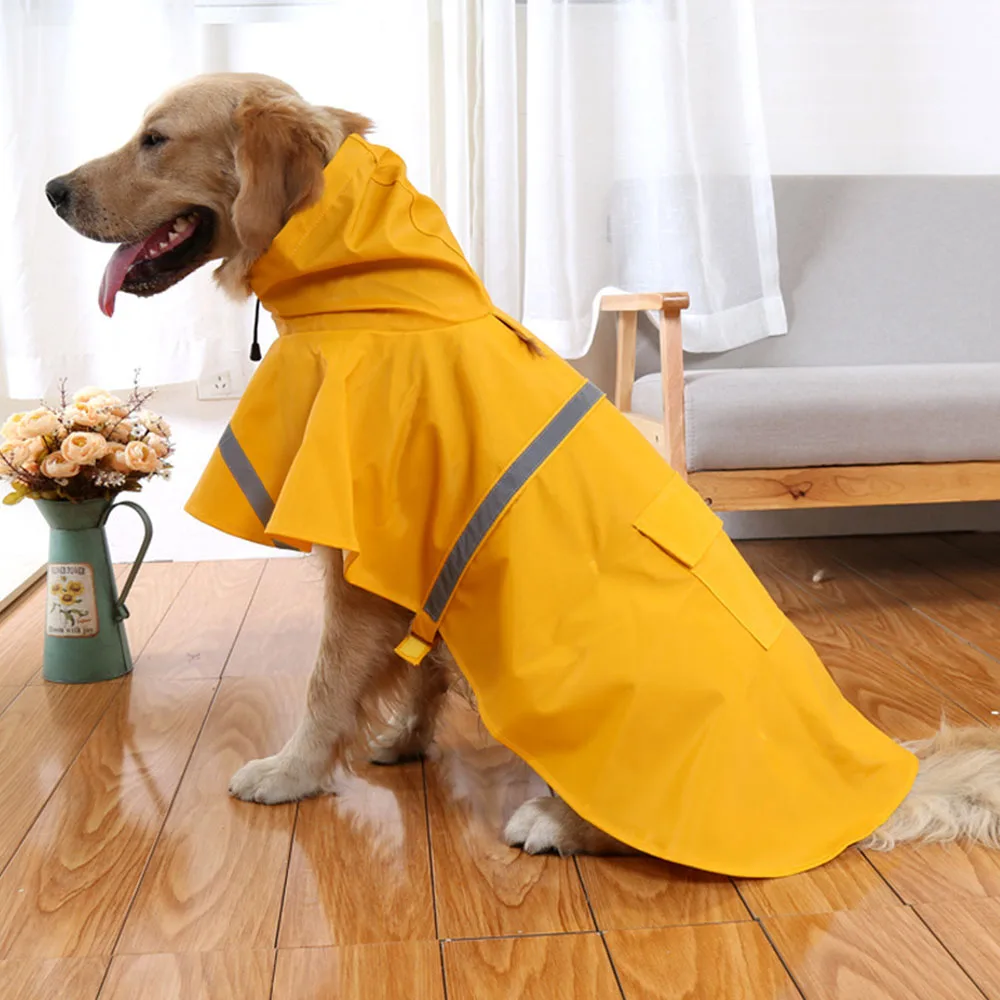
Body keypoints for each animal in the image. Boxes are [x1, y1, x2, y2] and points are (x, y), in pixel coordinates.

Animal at [47, 74, 1000, 864]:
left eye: (155, 139)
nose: (53, 190)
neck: (379, 298)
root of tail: (868, 779)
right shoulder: (416, 550)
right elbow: (417, 663)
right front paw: (401, 740)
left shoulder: (364, 546)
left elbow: (326, 681)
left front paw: (290, 772)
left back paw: (555, 821)